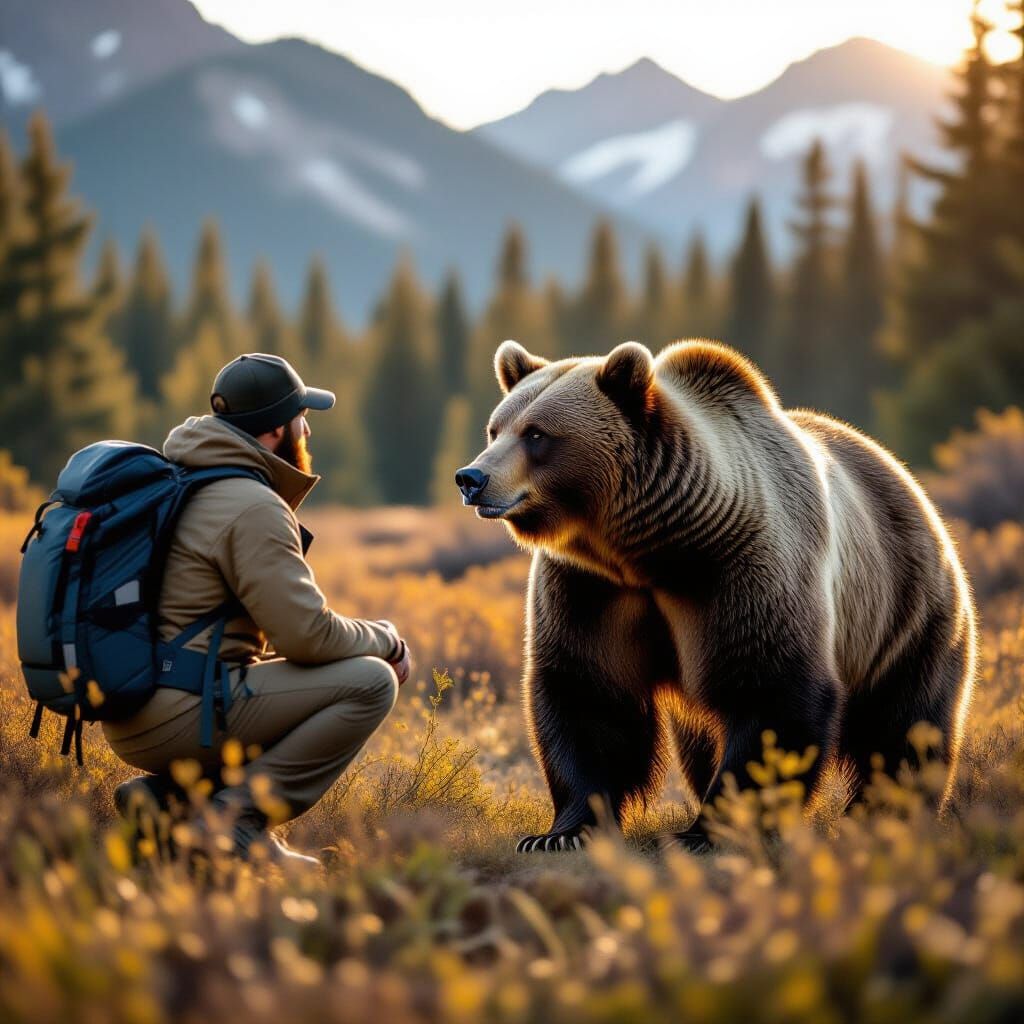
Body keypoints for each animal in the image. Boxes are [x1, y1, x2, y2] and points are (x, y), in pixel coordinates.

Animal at [455, 338, 977, 853]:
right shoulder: (591, 588)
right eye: (495, 429)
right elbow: (588, 695)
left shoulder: (740, 571)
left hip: (906, 610)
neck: (650, 552)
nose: (471, 478)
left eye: (536, 434)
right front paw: (559, 833)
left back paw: (885, 813)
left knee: (905, 723)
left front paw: (707, 832)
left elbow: (771, 689)